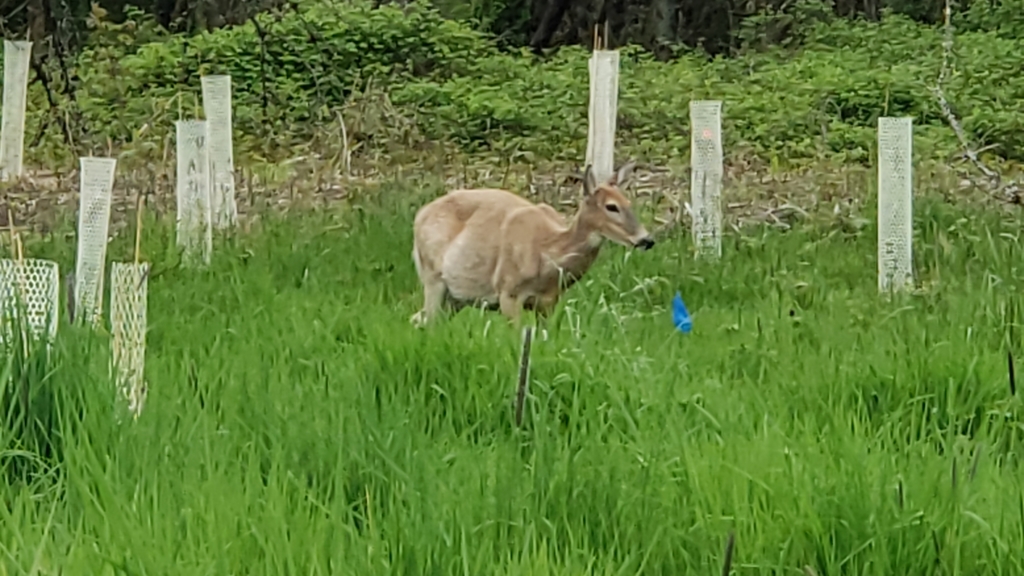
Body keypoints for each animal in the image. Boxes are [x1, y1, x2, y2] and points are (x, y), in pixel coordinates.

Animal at [409, 161, 655, 330]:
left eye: (629, 202)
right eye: (611, 206)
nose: (647, 239)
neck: (547, 254)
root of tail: (420, 215)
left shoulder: (549, 302)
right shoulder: (507, 293)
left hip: (455, 298)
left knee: (419, 319)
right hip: (432, 276)